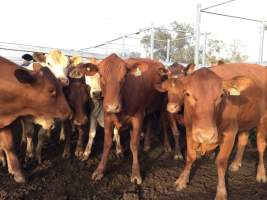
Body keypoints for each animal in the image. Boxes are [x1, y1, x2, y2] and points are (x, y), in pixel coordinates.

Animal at [86, 54, 165, 184]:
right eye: (101, 75)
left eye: (124, 76)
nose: (112, 106)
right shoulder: (107, 117)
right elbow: (107, 143)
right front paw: (99, 170)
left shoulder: (138, 117)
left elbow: (134, 144)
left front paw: (136, 173)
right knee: (149, 122)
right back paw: (147, 145)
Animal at [159, 64, 267, 200]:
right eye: (187, 93)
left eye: (221, 95)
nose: (206, 135)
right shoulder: (189, 130)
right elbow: (190, 157)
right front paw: (182, 180)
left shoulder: (230, 133)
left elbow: (221, 162)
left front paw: (221, 192)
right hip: (245, 121)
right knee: (243, 140)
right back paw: (236, 163)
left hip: (263, 122)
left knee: (261, 146)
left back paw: (261, 173)